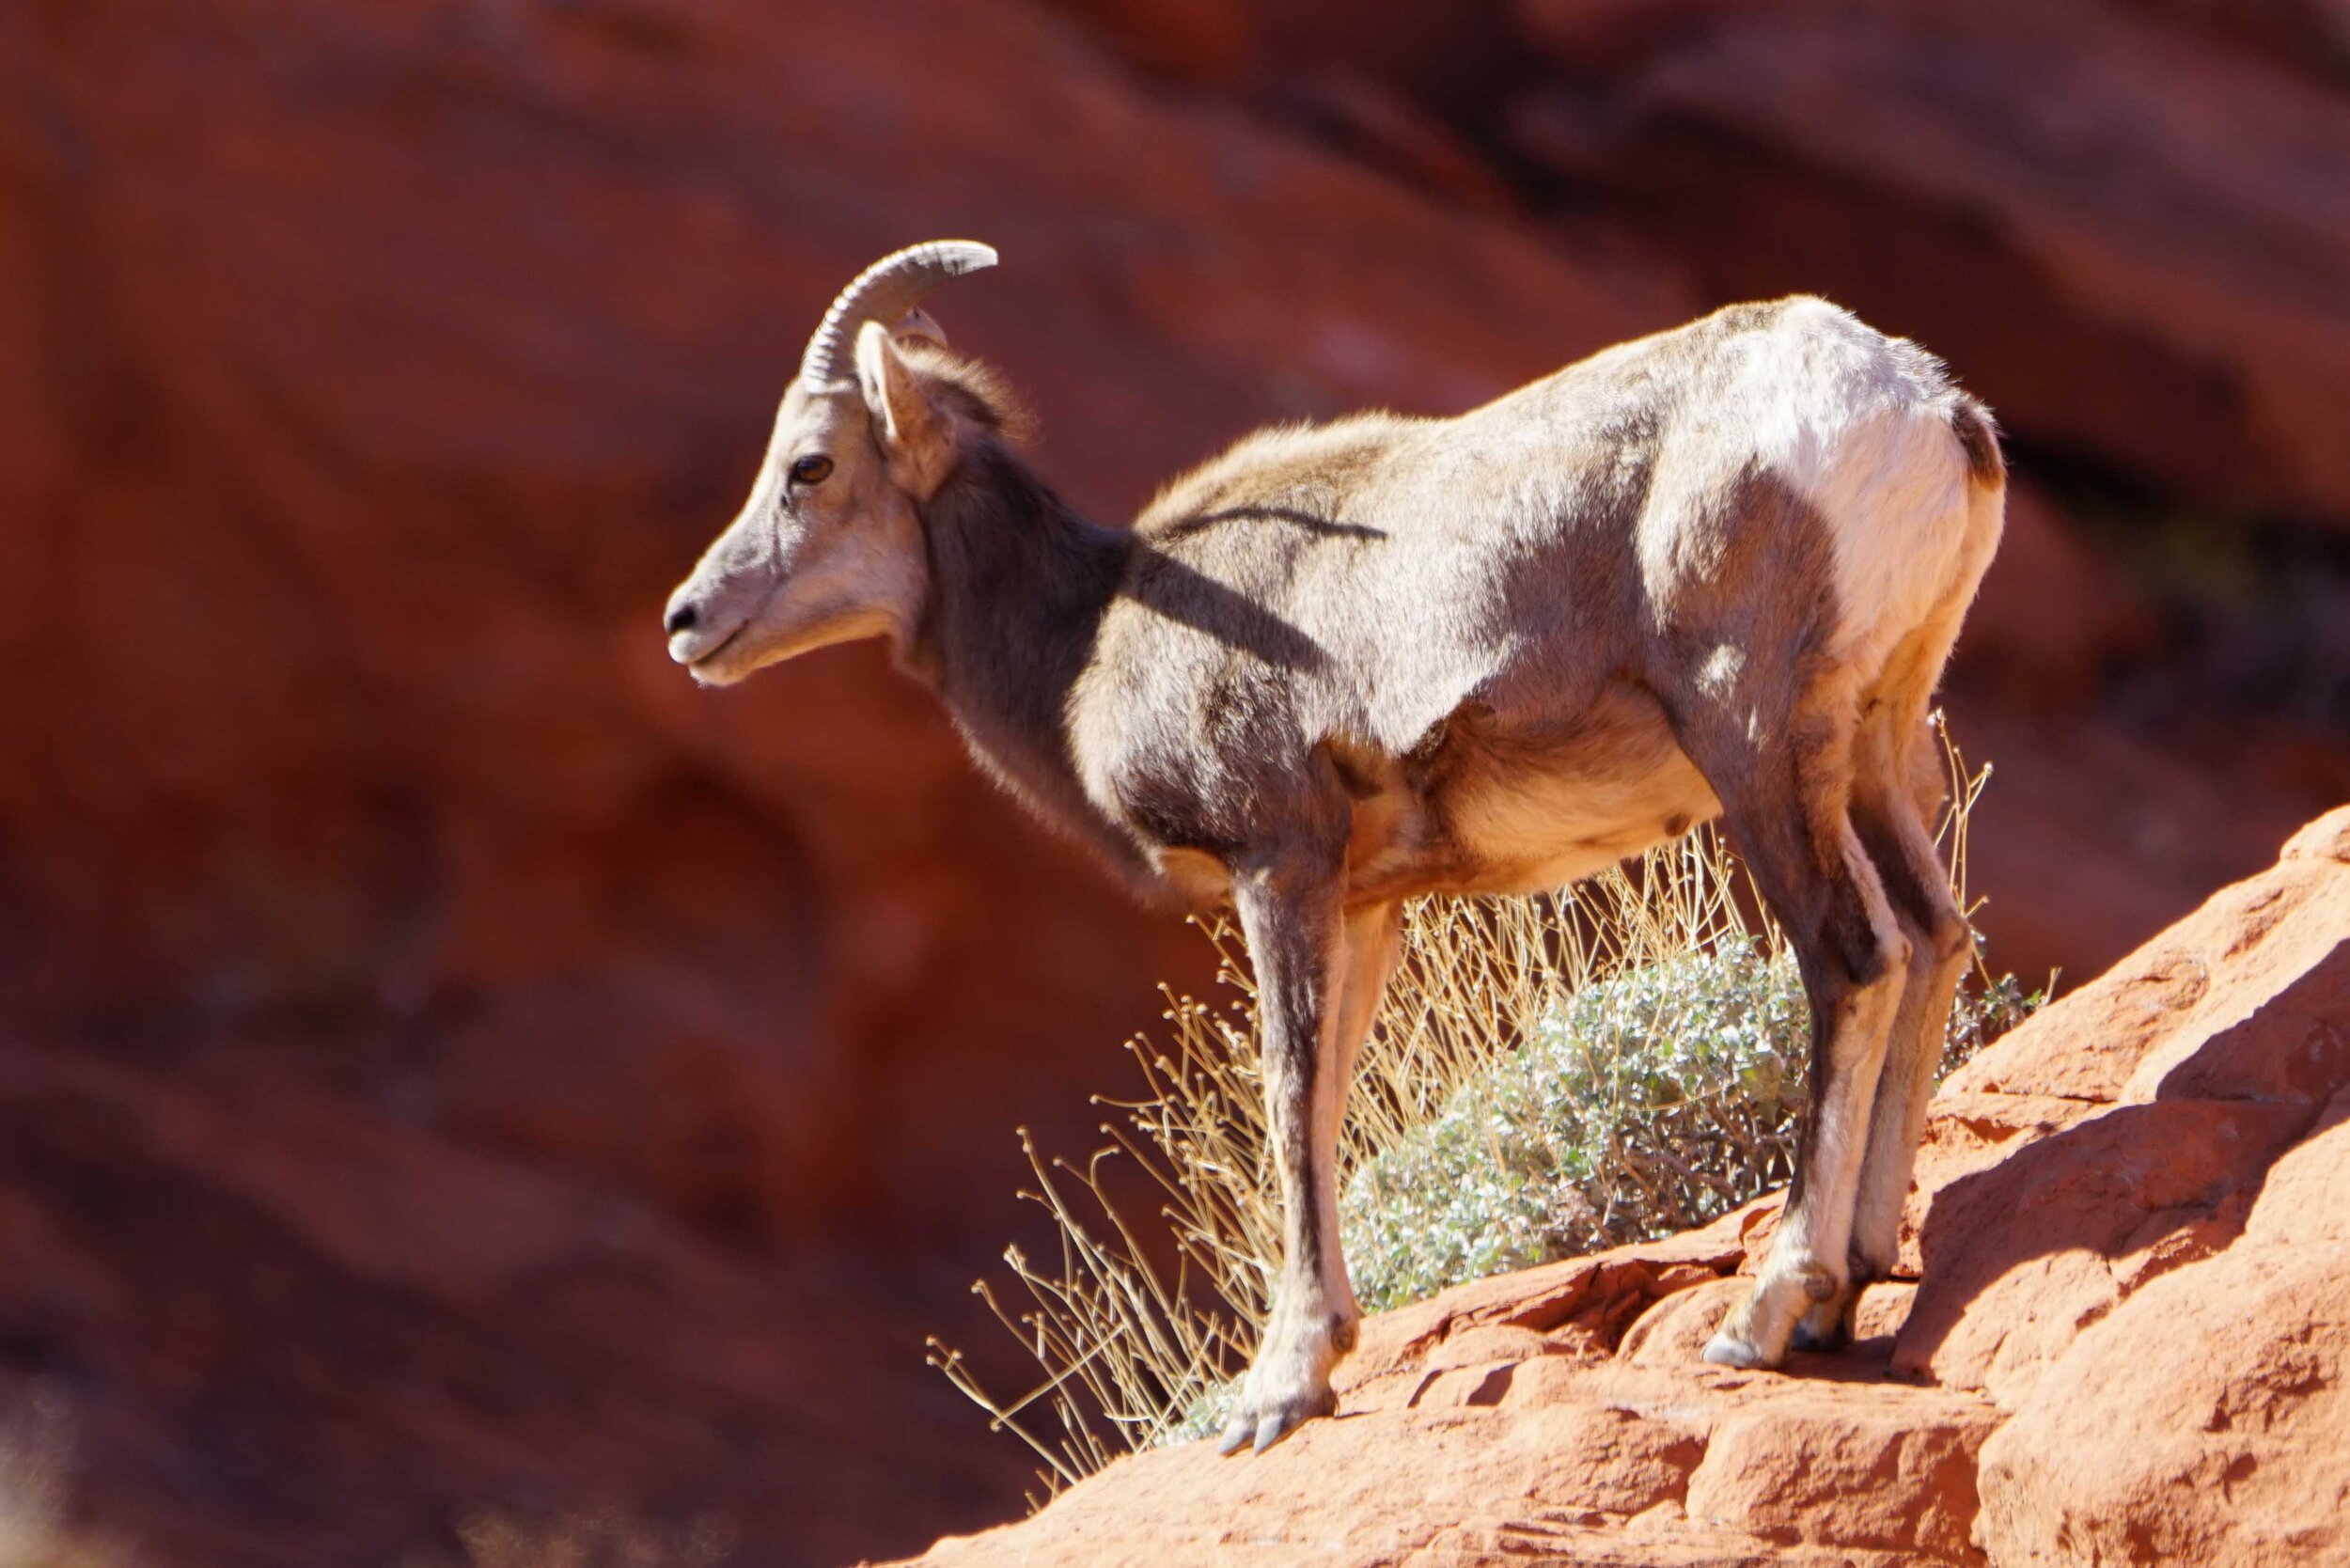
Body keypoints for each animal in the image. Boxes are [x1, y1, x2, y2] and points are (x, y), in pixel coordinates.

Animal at [663, 242, 2002, 1457]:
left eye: (811, 465)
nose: (687, 621)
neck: (1089, 635)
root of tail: (1926, 406)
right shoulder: (1366, 906)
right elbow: (1335, 1096)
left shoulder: (1281, 862)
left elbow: (1289, 1089)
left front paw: (1281, 1391)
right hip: (1875, 738)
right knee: (1934, 937)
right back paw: (1846, 1292)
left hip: (1755, 740)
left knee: (1853, 959)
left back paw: (1764, 1316)